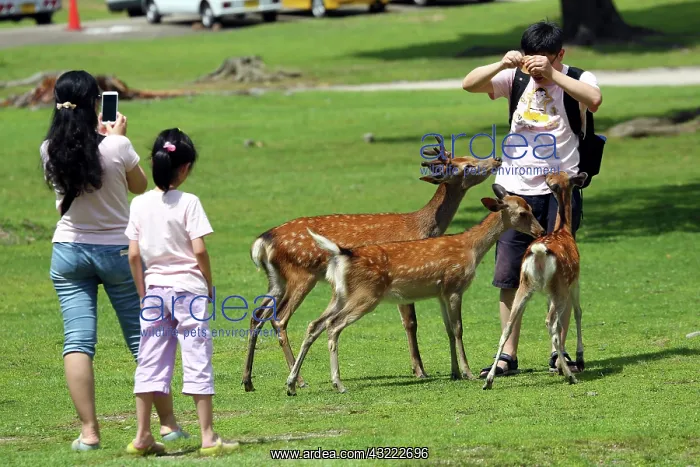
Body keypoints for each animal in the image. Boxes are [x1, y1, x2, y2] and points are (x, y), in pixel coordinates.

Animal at [242, 143, 503, 392]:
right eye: (467, 166)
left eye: (468, 157)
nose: (496, 159)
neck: (421, 227)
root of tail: (262, 242)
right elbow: (411, 323)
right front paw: (419, 370)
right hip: (301, 274)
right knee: (280, 318)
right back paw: (300, 380)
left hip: (277, 279)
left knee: (258, 315)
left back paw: (248, 381)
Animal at [284, 184, 546, 396]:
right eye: (522, 213)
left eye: (531, 208)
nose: (541, 231)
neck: (471, 249)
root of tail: (342, 255)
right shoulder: (454, 286)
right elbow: (459, 330)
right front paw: (467, 372)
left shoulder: (440, 293)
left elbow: (448, 330)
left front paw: (454, 372)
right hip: (366, 295)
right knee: (333, 325)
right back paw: (338, 384)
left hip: (339, 295)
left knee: (314, 324)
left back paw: (291, 384)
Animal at [482, 171, 588, 390]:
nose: (546, 173)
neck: (563, 230)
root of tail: (539, 252)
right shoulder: (575, 280)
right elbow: (578, 312)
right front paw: (580, 359)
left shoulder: (548, 292)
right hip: (559, 288)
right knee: (551, 324)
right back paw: (569, 375)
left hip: (525, 285)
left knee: (508, 326)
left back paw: (489, 380)